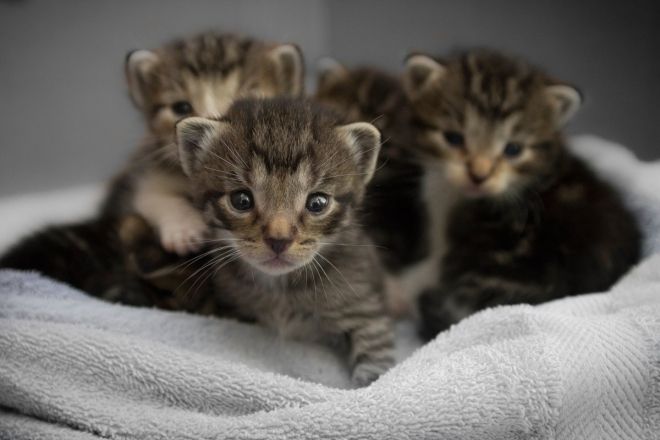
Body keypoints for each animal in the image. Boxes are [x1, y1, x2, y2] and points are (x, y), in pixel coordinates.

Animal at [174, 97, 398, 384]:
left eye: (317, 203)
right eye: (241, 200)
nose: (278, 240)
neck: (280, 290)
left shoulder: (364, 310)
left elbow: (375, 363)